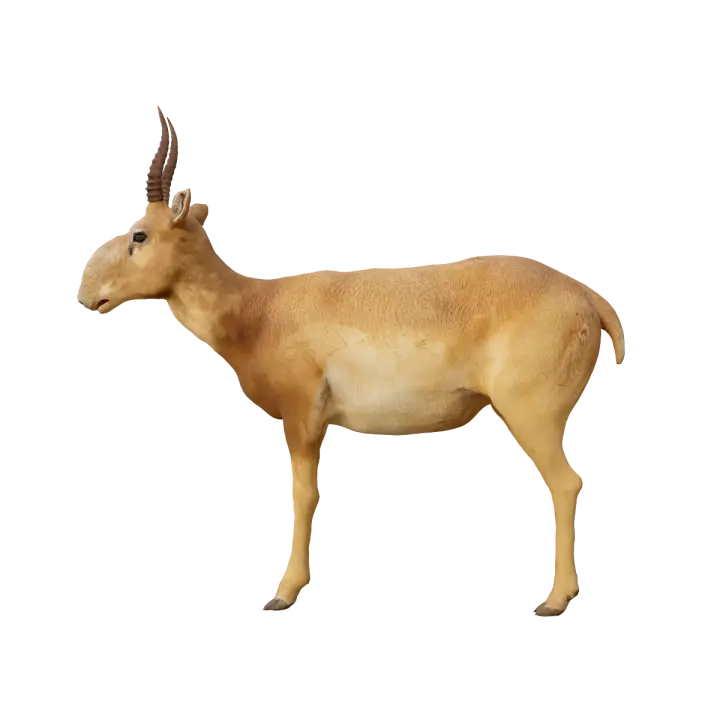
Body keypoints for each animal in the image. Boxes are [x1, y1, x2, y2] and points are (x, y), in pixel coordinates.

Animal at [76, 105, 625, 617]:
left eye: (139, 235)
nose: (84, 294)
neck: (259, 307)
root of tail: (584, 295)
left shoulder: (302, 420)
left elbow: (301, 495)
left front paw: (281, 594)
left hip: (529, 416)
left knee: (566, 484)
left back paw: (554, 600)